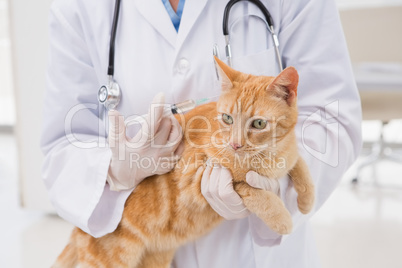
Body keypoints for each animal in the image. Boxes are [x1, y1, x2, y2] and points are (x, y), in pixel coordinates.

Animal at [52, 57, 314, 266]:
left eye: (259, 123)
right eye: (227, 118)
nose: (235, 144)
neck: (270, 154)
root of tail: (79, 229)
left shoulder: (289, 155)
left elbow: (300, 165)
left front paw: (307, 201)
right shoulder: (199, 177)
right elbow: (252, 189)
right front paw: (282, 219)